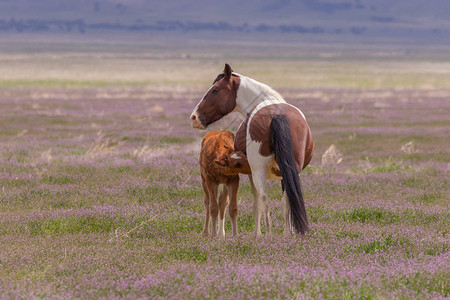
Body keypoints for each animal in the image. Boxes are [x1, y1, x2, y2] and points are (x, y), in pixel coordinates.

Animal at [190, 63, 312, 237]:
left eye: (215, 90)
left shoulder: (250, 172)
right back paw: (285, 235)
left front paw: (258, 233)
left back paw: (268, 234)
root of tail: (277, 114)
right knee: (287, 199)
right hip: (292, 169)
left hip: (258, 171)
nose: (194, 118)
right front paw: (286, 231)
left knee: (264, 199)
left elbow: (256, 203)